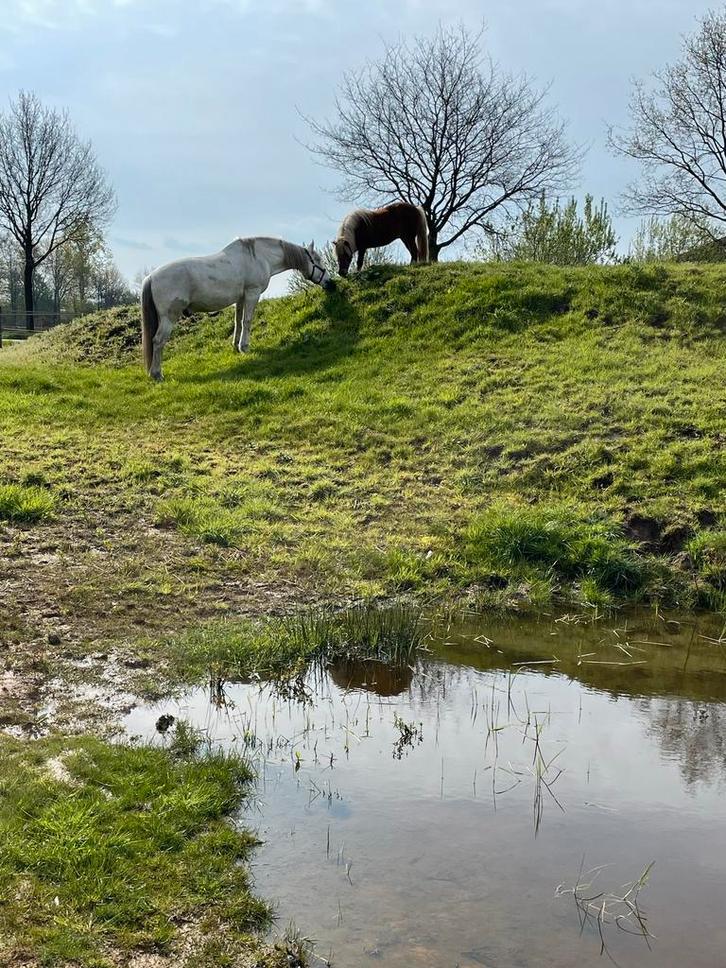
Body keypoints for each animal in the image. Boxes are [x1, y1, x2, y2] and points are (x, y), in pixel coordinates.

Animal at [140, 237, 333, 380]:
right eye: (317, 260)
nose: (330, 283)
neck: (259, 257)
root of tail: (151, 277)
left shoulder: (240, 299)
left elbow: (238, 322)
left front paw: (235, 346)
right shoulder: (252, 294)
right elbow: (247, 321)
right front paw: (245, 347)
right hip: (169, 317)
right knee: (158, 341)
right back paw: (157, 374)